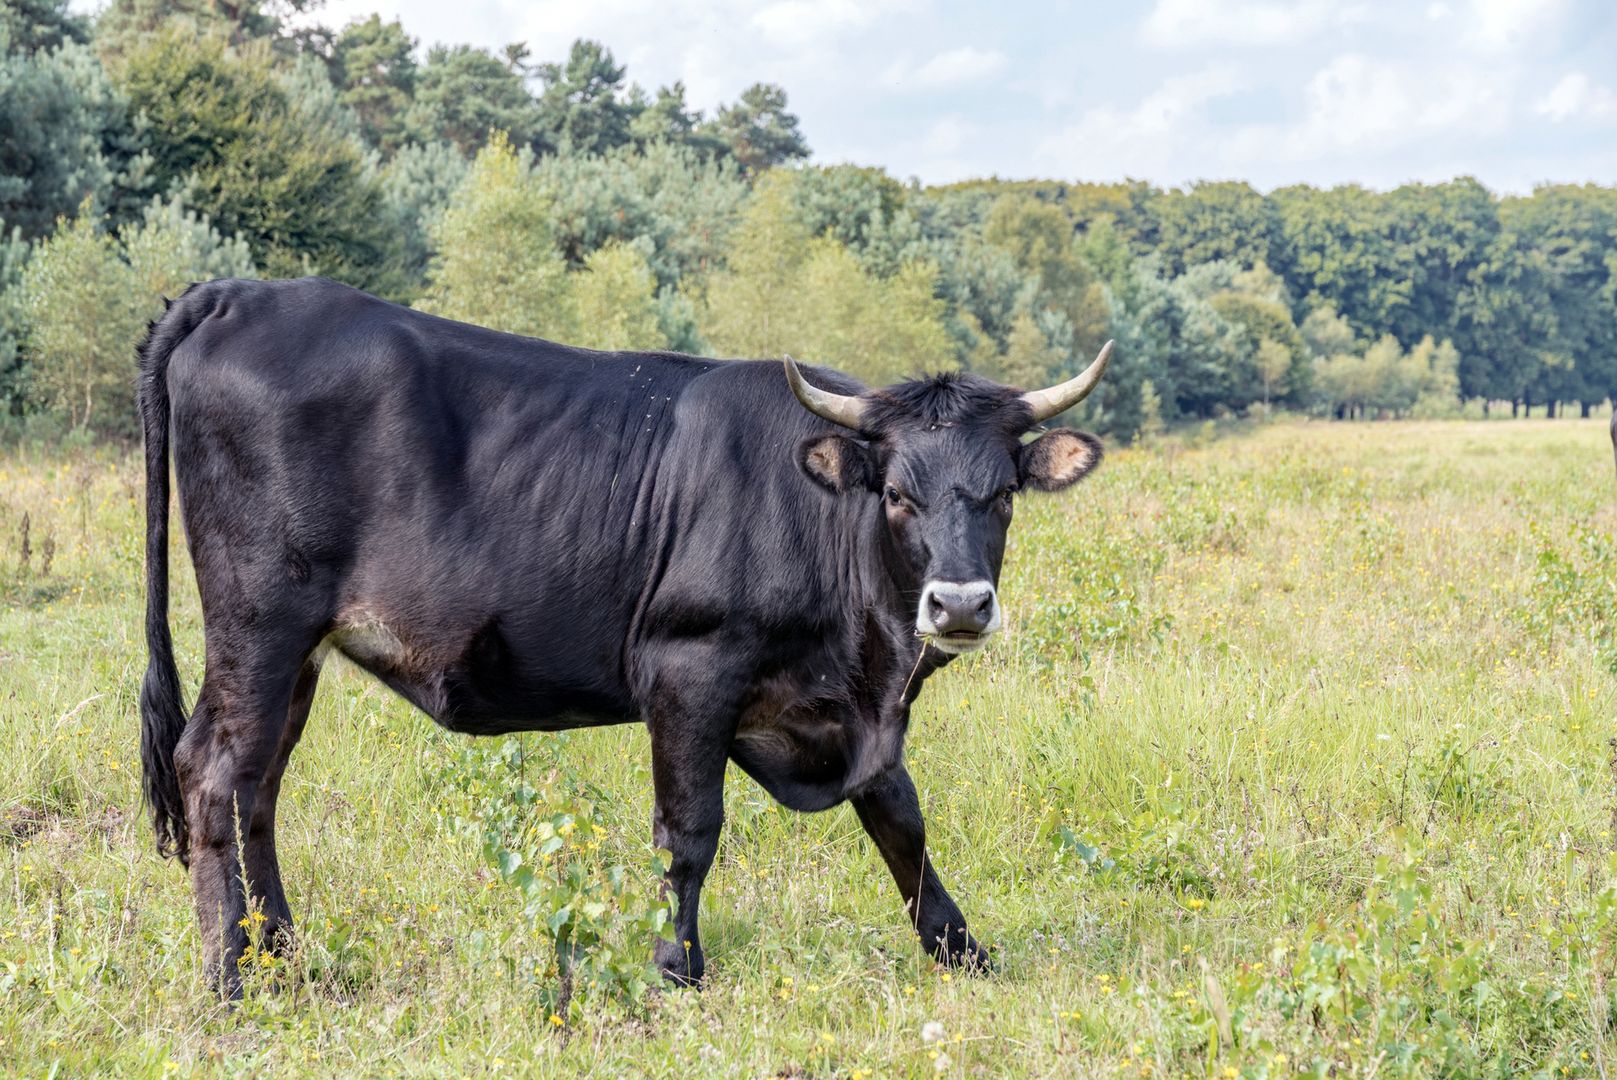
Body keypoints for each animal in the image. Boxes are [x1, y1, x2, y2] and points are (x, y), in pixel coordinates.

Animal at [139, 274, 1112, 989]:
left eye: (1004, 493)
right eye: (898, 493)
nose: (958, 605)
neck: (870, 660)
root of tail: (239, 293)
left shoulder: (859, 715)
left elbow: (900, 820)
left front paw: (961, 950)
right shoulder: (689, 669)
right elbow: (689, 831)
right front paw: (676, 968)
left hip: (293, 654)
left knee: (260, 784)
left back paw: (280, 952)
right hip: (259, 622)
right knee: (216, 771)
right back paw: (231, 973)